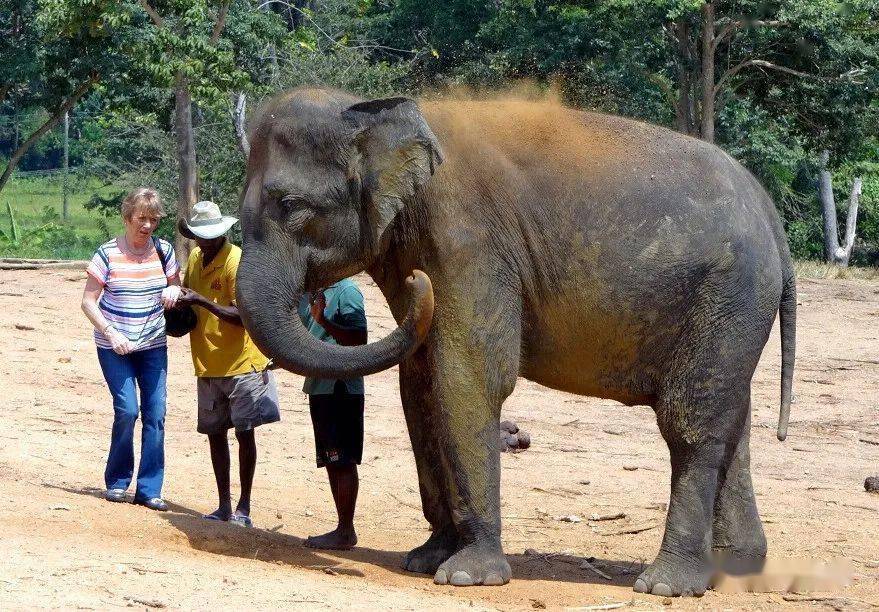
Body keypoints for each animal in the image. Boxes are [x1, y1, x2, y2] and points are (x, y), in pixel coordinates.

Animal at [234, 87, 796, 596]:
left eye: (291, 205)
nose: (419, 284)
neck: (371, 110)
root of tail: (771, 214)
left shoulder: (468, 242)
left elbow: (467, 377)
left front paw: (466, 576)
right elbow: (419, 385)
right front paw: (425, 560)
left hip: (730, 292)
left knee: (690, 422)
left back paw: (667, 585)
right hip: (734, 307)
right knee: (732, 421)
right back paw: (737, 569)